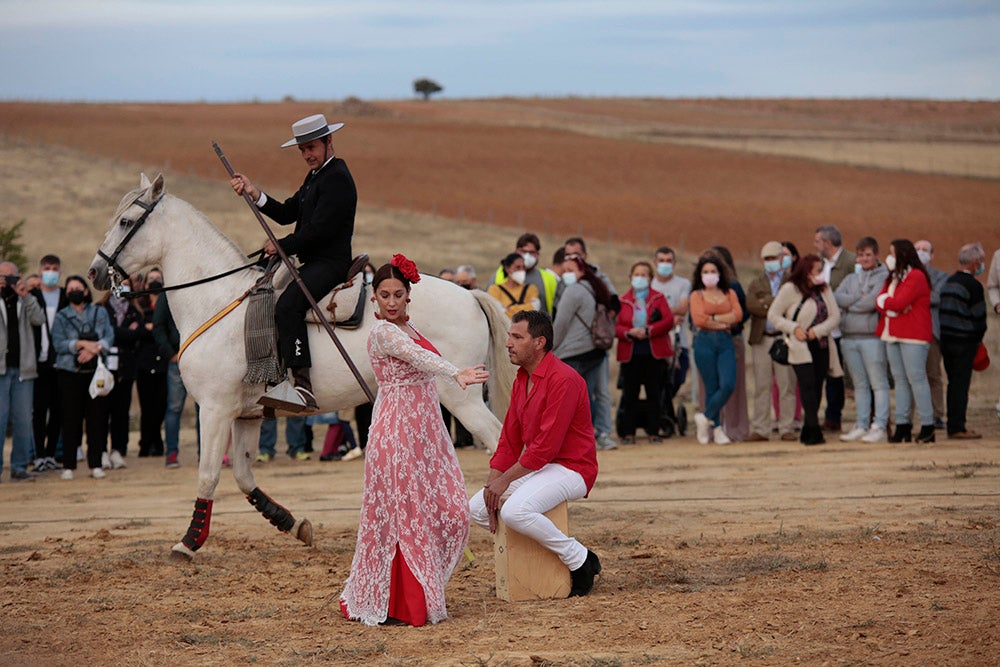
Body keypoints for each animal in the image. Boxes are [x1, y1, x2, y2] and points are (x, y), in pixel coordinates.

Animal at [86, 175, 516, 560]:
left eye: (126, 222)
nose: (93, 272)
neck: (218, 301)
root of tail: (471, 296)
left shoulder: (214, 409)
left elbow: (208, 475)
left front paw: (188, 543)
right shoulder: (247, 415)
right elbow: (243, 476)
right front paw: (292, 524)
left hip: (460, 398)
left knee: (496, 441)